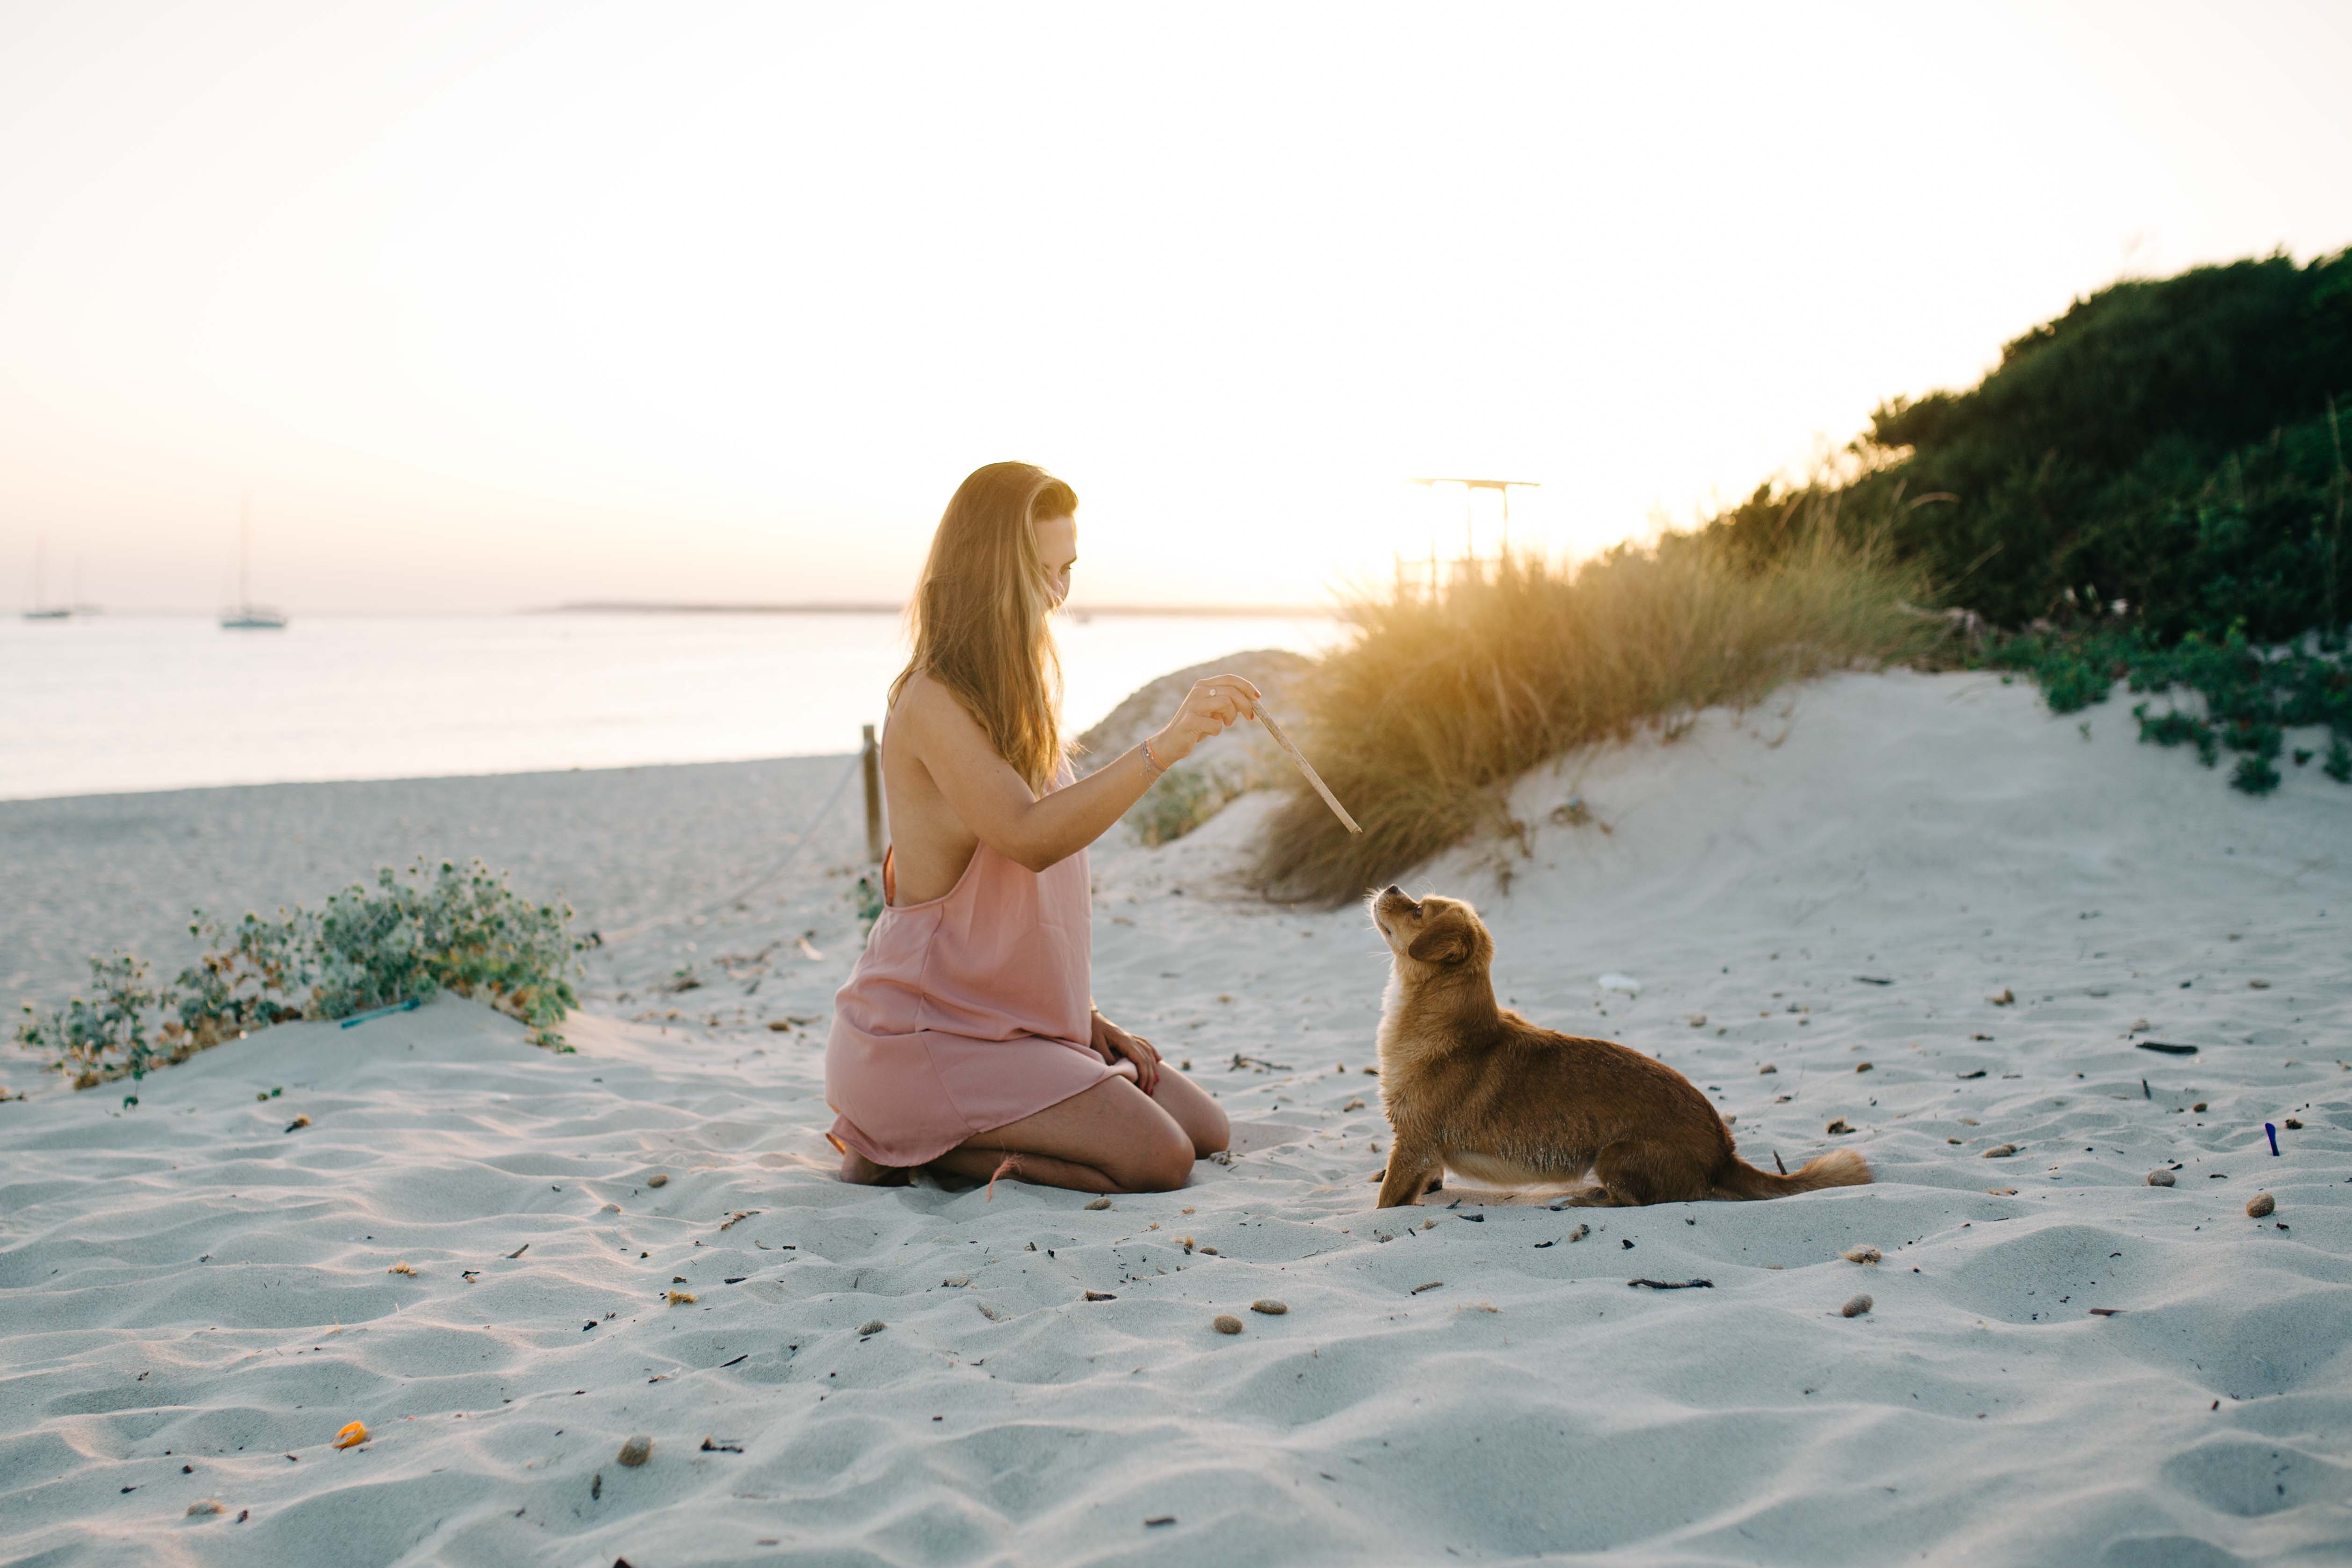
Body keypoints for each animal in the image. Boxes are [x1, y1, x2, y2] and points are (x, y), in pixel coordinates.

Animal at [1373, 889, 1862, 1213]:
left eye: (1417, 910)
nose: (1391, 886)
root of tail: (1723, 1153)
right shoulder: (1423, 1155)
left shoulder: (1412, 1146)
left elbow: (1385, 1202)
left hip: (1614, 1155)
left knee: (1629, 1201)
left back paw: (1585, 1199)